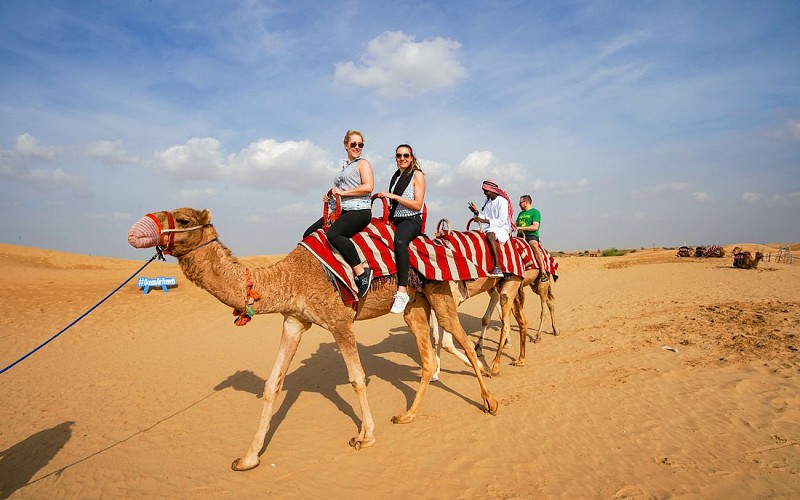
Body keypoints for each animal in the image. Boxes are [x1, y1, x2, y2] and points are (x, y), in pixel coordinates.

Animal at [127, 208, 496, 472]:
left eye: (183, 219)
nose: (135, 231)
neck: (287, 277)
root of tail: (435, 241)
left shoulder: (339, 320)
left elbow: (357, 378)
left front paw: (366, 437)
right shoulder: (294, 320)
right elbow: (273, 384)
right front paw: (248, 458)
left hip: (440, 291)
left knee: (460, 339)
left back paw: (490, 400)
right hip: (413, 304)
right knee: (428, 357)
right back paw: (407, 416)